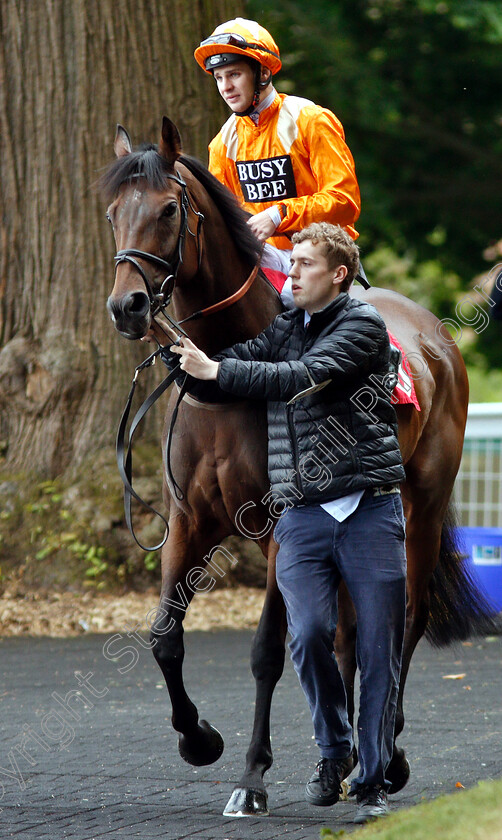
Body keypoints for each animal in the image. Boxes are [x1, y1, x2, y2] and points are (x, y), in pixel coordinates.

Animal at [101, 116, 494, 812]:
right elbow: (164, 637)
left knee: (406, 619)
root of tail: (438, 338)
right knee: (349, 631)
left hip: (419, 508)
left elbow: (267, 651)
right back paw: (347, 757)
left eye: (170, 209)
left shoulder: (281, 525)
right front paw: (199, 739)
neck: (229, 377)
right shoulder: (189, 520)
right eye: (113, 212)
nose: (129, 307)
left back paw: (388, 751)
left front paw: (252, 777)